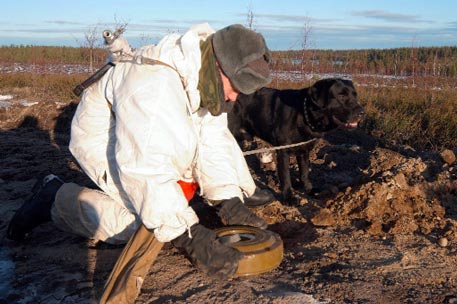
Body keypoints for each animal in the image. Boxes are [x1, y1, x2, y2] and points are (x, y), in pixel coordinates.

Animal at [228, 78, 364, 204]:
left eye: (355, 95)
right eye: (341, 95)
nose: (362, 112)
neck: (303, 114)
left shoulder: (304, 150)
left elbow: (304, 172)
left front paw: (309, 189)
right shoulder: (283, 152)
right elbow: (286, 176)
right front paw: (289, 197)